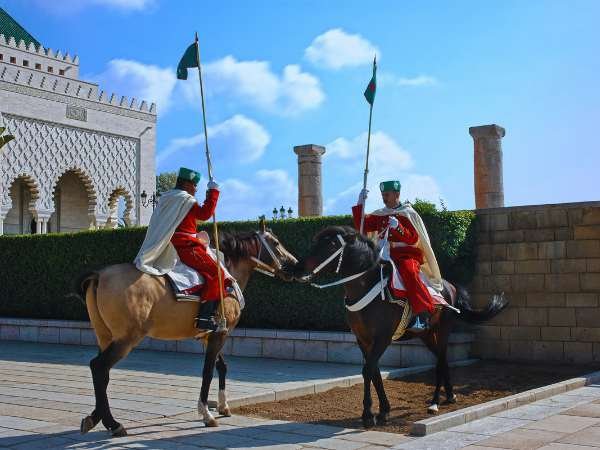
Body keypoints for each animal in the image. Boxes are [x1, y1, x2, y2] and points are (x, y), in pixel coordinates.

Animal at [75, 223, 297, 437]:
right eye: (276, 243)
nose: (294, 265)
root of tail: (100, 275)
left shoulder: (211, 335)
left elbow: (221, 366)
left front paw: (223, 406)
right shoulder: (219, 335)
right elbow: (208, 371)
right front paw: (206, 413)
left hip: (105, 336)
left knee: (102, 373)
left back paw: (97, 417)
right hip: (127, 339)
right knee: (99, 367)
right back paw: (113, 424)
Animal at [288, 225, 507, 428]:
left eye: (332, 244)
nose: (296, 268)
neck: (365, 287)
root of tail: (450, 286)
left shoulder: (383, 338)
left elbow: (368, 370)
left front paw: (368, 415)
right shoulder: (363, 339)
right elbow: (374, 372)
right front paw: (383, 411)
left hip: (442, 330)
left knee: (440, 362)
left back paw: (435, 402)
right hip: (427, 334)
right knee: (442, 360)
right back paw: (450, 395)